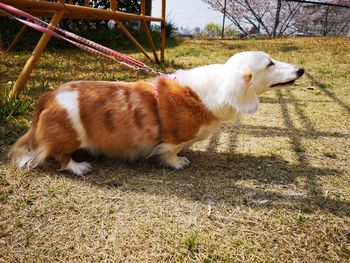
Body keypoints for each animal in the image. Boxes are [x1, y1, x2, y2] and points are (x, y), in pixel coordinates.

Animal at [8, 51, 304, 175]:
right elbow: (170, 152)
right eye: (270, 63)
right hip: (69, 137)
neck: (208, 93)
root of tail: (49, 95)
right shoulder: (172, 139)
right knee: (58, 156)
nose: (301, 70)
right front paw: (178, 162)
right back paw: (79, 167)